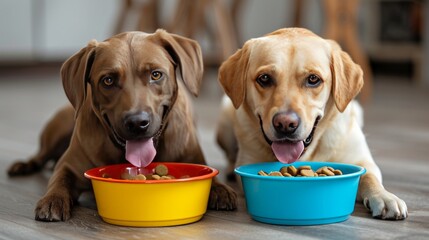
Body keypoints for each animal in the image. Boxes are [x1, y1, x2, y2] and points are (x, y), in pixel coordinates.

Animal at [9, 29, 237, 221]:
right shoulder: (68, 165)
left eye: (156, 74)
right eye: (108, 80)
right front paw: (53, 199)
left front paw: (220, 188)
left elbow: (211, 176)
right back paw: (23, 165)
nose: (137, 123)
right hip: (56, 130)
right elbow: (59, 180)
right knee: (40, 155)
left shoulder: (193, 157)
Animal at [216, 27, 406, 219]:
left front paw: (385, 197)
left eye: (313, 79)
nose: (285, 124)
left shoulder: (363, 160)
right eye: (264, 78)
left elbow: (369, 177)